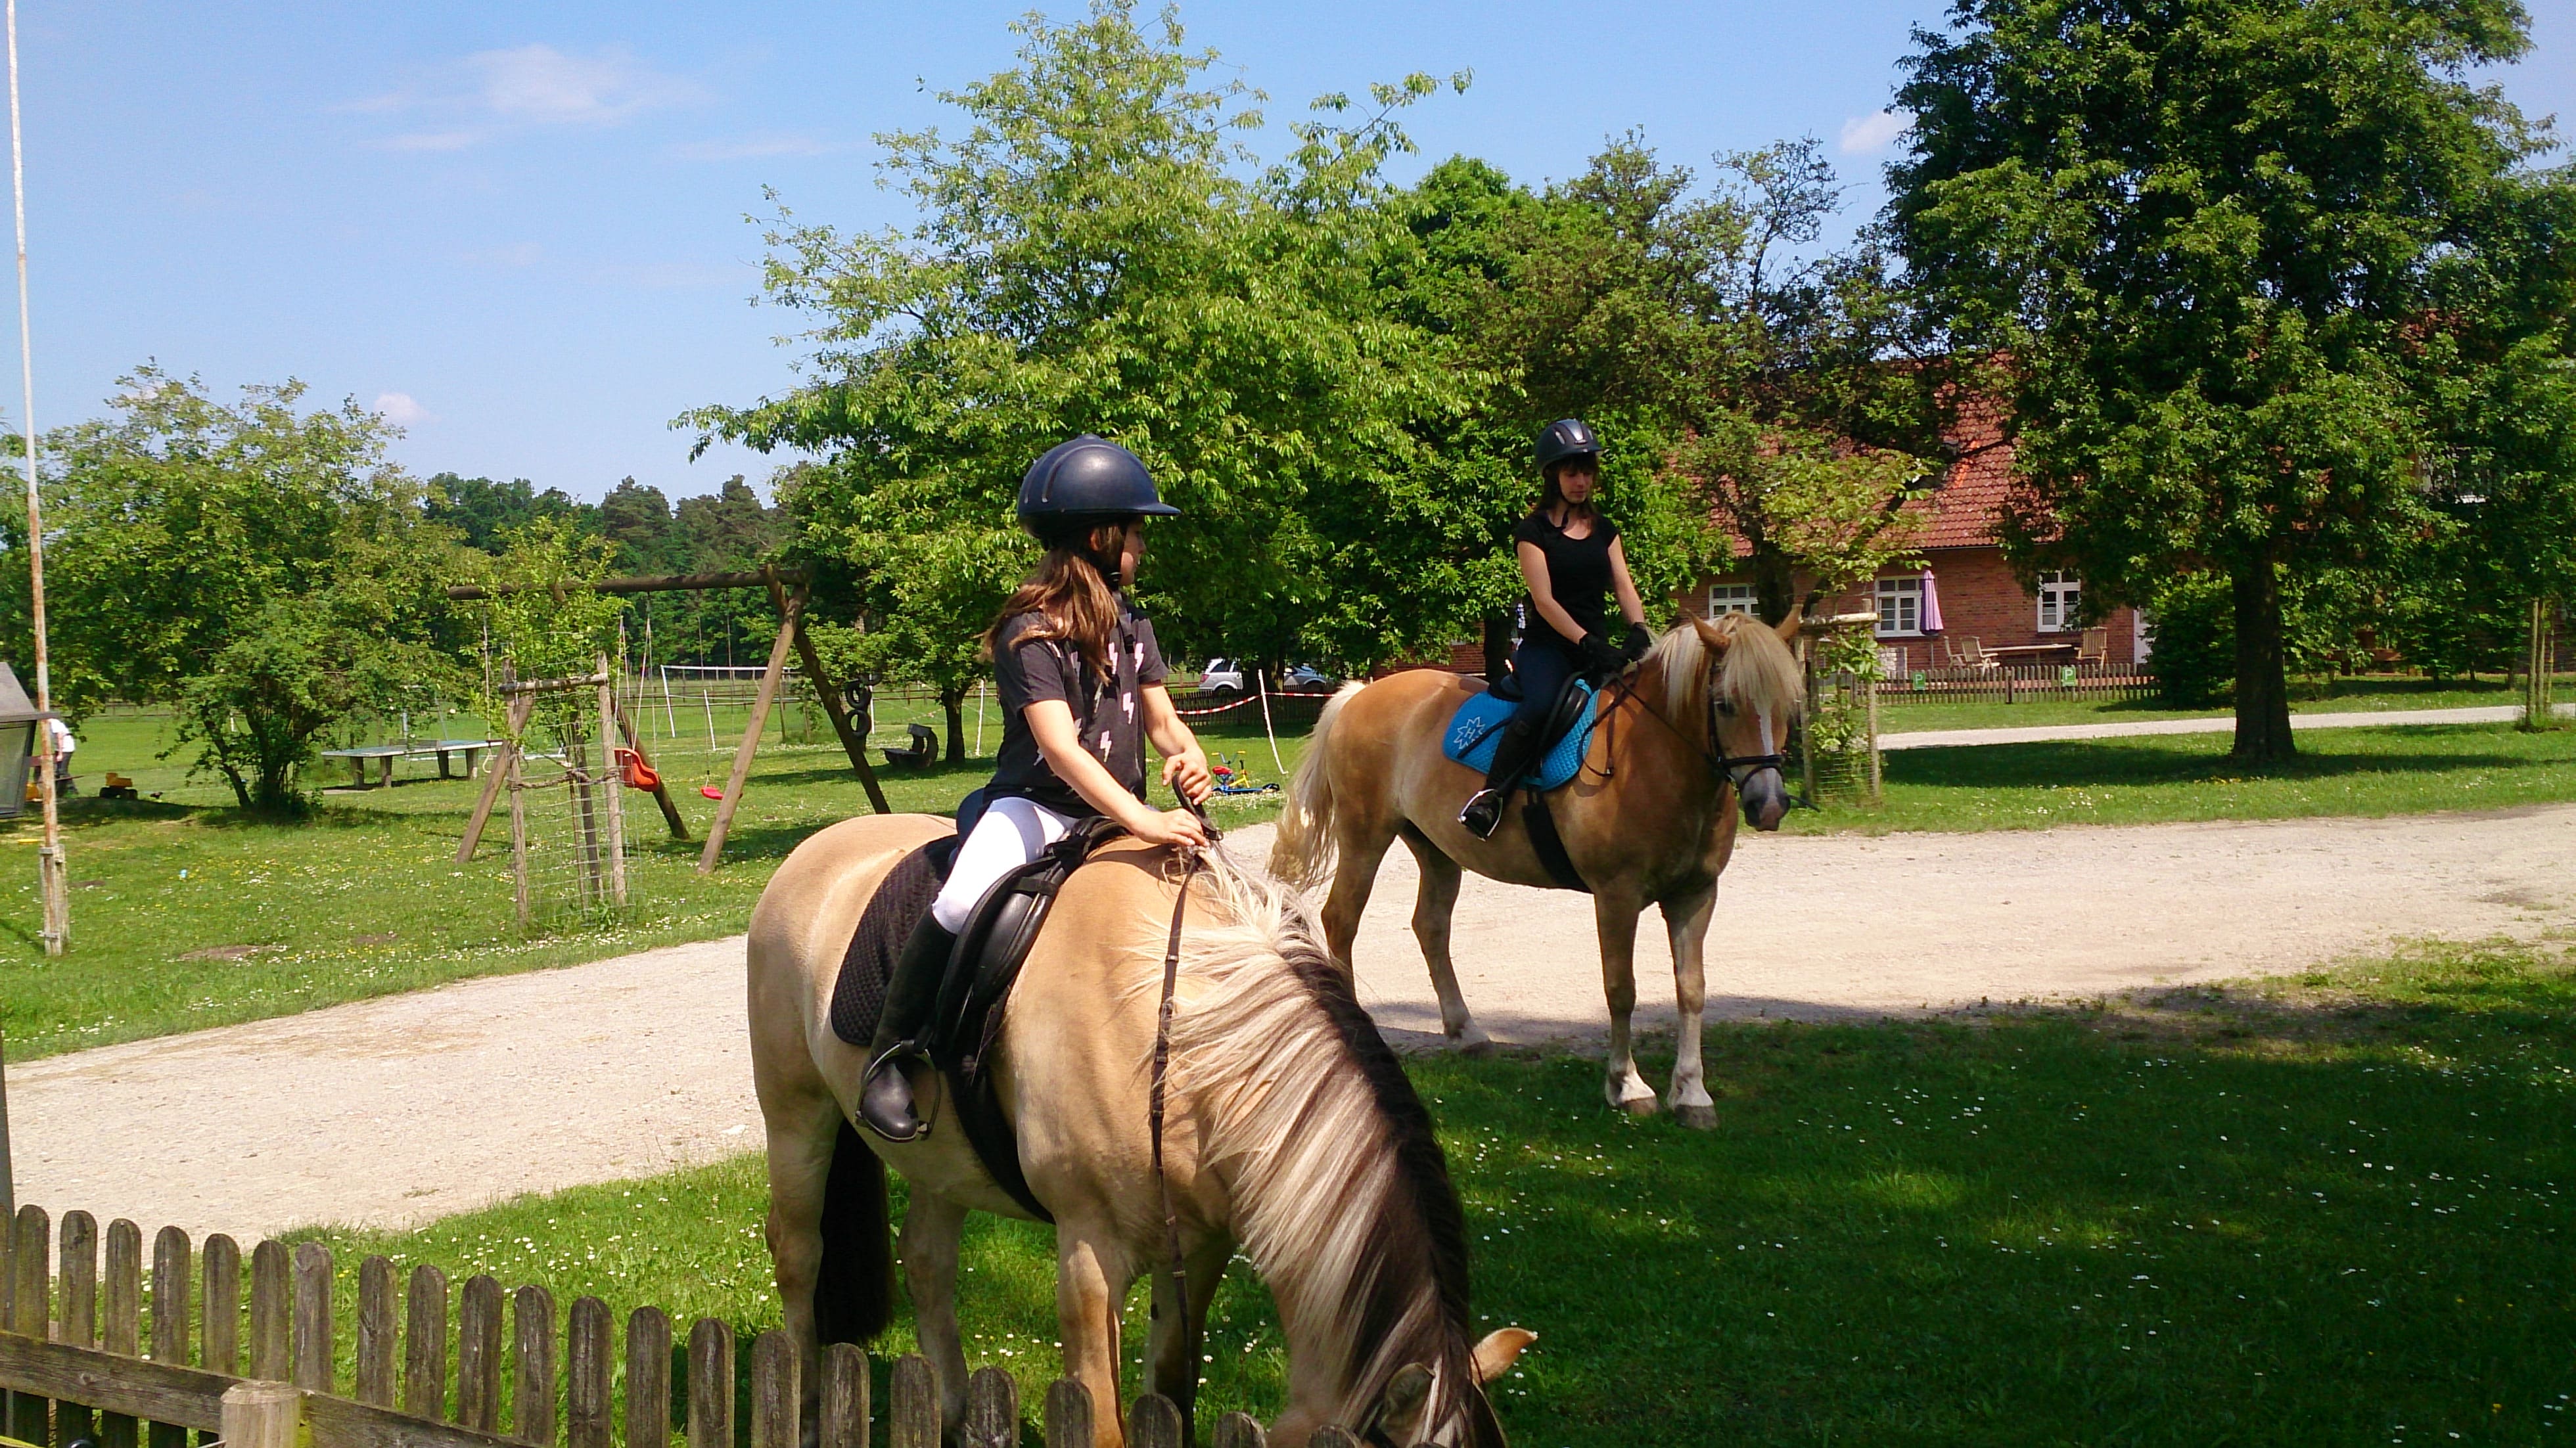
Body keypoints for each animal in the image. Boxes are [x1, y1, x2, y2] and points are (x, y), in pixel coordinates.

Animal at [747, 814, 1525, 1443]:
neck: (1177, 1033)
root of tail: (814, 848)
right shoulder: (1088, 1255)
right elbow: (1102, 1421)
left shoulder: (1202, 1247)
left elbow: (1171, 1387)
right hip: (795, 1113)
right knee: (798, 1252)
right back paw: (806, 1412)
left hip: (944, 1161)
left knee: (927, 1263)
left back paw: (959, 1419)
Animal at [1272, 608, 1803, 1118]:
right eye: (1724, 703)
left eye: (1786, 706)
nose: (1769, 805)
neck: (1653, 757)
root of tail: (1361, 694)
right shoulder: (1617, 896)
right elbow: (1621, 989)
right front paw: (1627, 1086)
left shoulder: (1696, 895)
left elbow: (1692, 989)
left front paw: (1693, 1094)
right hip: (1365, 837)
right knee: (1342, 919)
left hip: (1436, 849)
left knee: (1430, 927)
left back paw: (1467, 1032)